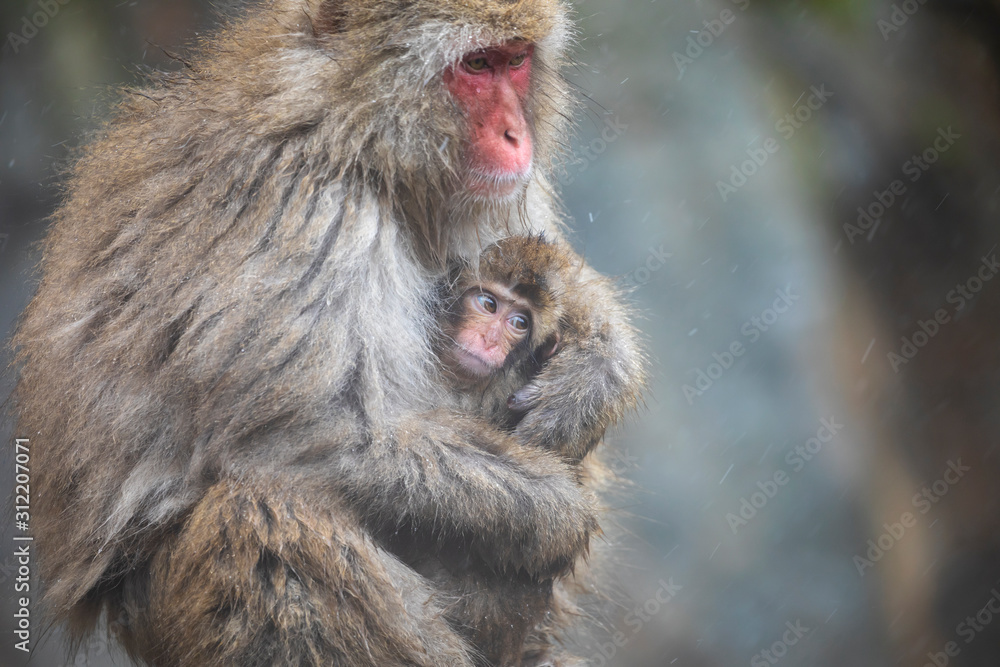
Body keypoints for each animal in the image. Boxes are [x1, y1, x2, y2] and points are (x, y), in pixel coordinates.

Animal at [10, 1, 647, 666]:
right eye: (476, 65)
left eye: (515, 60)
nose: (515, 136)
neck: (352, 137)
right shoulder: (309, 214)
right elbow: (318, 438)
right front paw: (556, 511)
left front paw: (600, 364)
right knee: (262, 517)